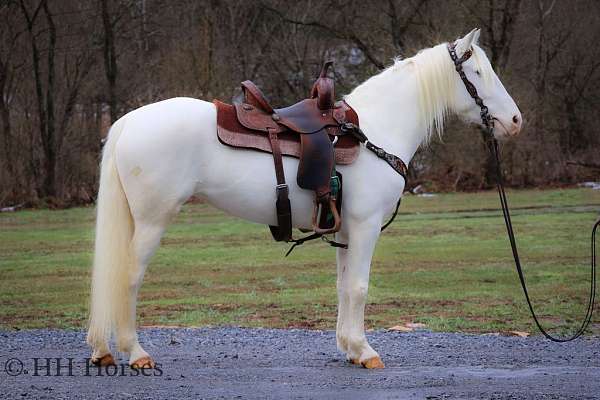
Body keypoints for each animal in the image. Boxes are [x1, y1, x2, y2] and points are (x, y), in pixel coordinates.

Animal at [86, 29, 524, 370]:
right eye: (478, 73)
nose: (516, 121)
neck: (374, 131)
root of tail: (128, 121)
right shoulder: (365, 227)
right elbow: (360, 287)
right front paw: (365, 351)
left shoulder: (345, 231)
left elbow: (344, 286)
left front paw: (350, 348)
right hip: (151, 221)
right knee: (127, 277)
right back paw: (136, 353)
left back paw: (103, 350)